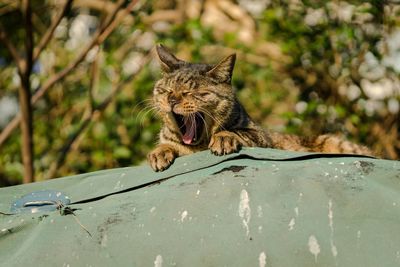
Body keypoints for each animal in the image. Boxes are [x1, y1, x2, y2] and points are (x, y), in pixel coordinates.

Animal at [147, 44, 372, 172]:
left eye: (190, 93)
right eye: (166, 91)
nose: (172, 100)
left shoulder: (263, 138)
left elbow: (240, 132)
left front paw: (224, 137)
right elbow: (168, 143)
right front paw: (160, 151)